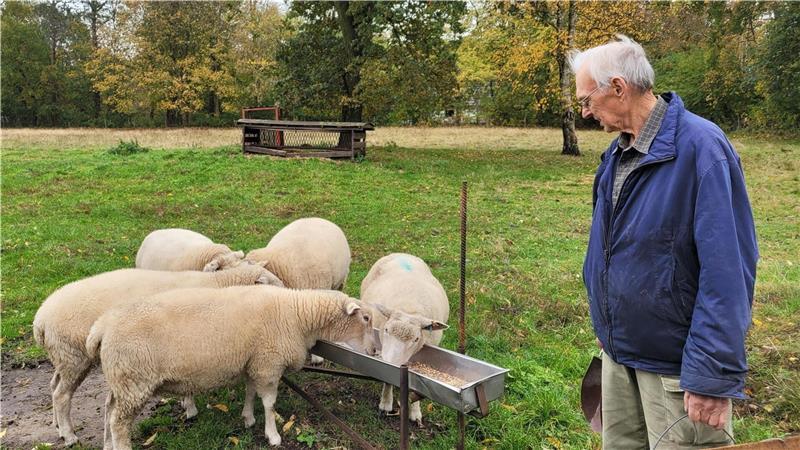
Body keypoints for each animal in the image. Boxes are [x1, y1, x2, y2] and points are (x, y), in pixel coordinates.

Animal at [32, 263, 282, 446]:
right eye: (274, 283)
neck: (219, 284)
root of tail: (40, 319)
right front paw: (190, 407)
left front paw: (188, 405)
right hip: (74, 357)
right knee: (62, 395)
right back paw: (69, 435)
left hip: (66, 358)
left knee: (54, 386)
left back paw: (57, 425)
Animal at [86, 285, 378, 450]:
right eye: (365, 318)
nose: (375, 351)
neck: (297, 315)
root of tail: (101, 327)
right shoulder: (268, 363)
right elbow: (269, 403)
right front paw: (273, 435)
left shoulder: (253, 361)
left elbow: (250, 392)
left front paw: (248, 418)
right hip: (134, 380)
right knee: (119, 423)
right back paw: (121, 446)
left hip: (122, 381)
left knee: (108, 413)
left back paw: (107, 445)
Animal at [360, 253, 449, 425]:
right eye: (386, 330)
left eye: (416, 339)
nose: (392, 361)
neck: (409, 309)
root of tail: (402, 254)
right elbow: (387, 378)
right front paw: (385, 404)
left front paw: (415, 413)